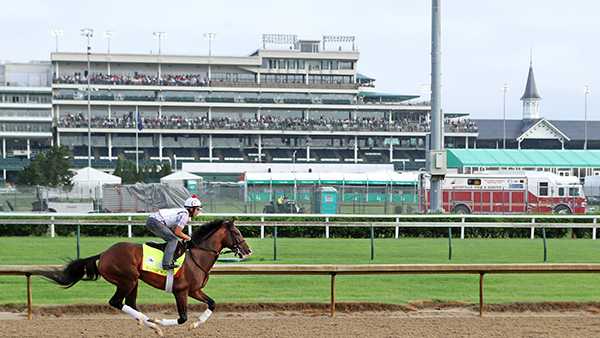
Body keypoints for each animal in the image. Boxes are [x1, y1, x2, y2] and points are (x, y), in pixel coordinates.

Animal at [43, 219, 251, 336]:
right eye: (237, 232)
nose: (248, 250)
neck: (197, 256)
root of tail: (104, 254)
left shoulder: (194, 290)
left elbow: (212, 304)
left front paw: (195, 325)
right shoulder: (181, 291)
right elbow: (182, 317)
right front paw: (164, 322)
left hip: (133, 282)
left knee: (130, 304)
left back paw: (150, 324)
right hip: (127, 280)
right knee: (116, 302)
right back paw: (154, 324)